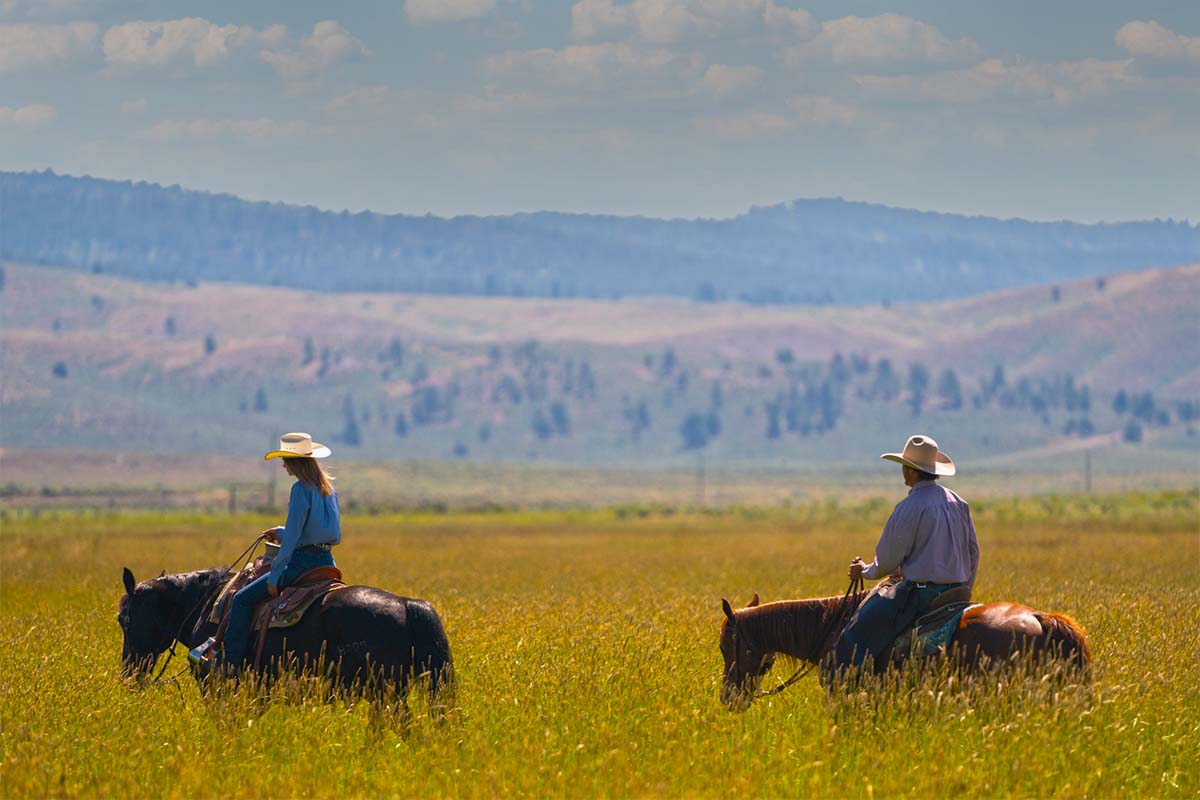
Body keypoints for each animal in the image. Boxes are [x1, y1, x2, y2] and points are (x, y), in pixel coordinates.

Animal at [119, 566, 451, 710]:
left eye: (124, 620)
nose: (127, 675)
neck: (206, 605)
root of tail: (406, 604)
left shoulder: (215, 685)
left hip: (384, 693)